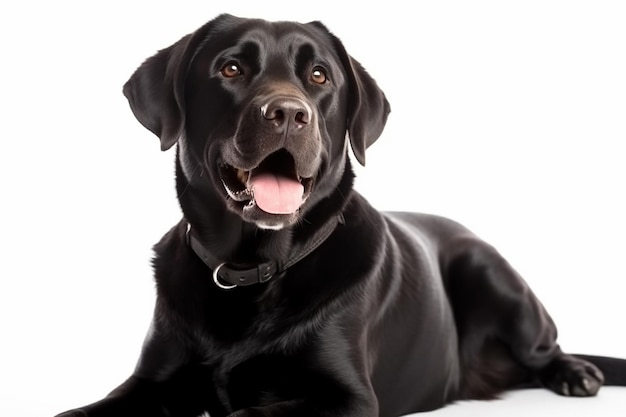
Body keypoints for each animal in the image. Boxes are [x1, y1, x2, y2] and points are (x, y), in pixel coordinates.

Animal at [54, 13, 624, 416]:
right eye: (231, 68)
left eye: (319, 75)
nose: (288, 113)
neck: (250, 270)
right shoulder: (149, 381)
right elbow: (84, 411)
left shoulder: (347, 398)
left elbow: (248, 416)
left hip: (493, 276)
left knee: (546, 347)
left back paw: (576, 373)